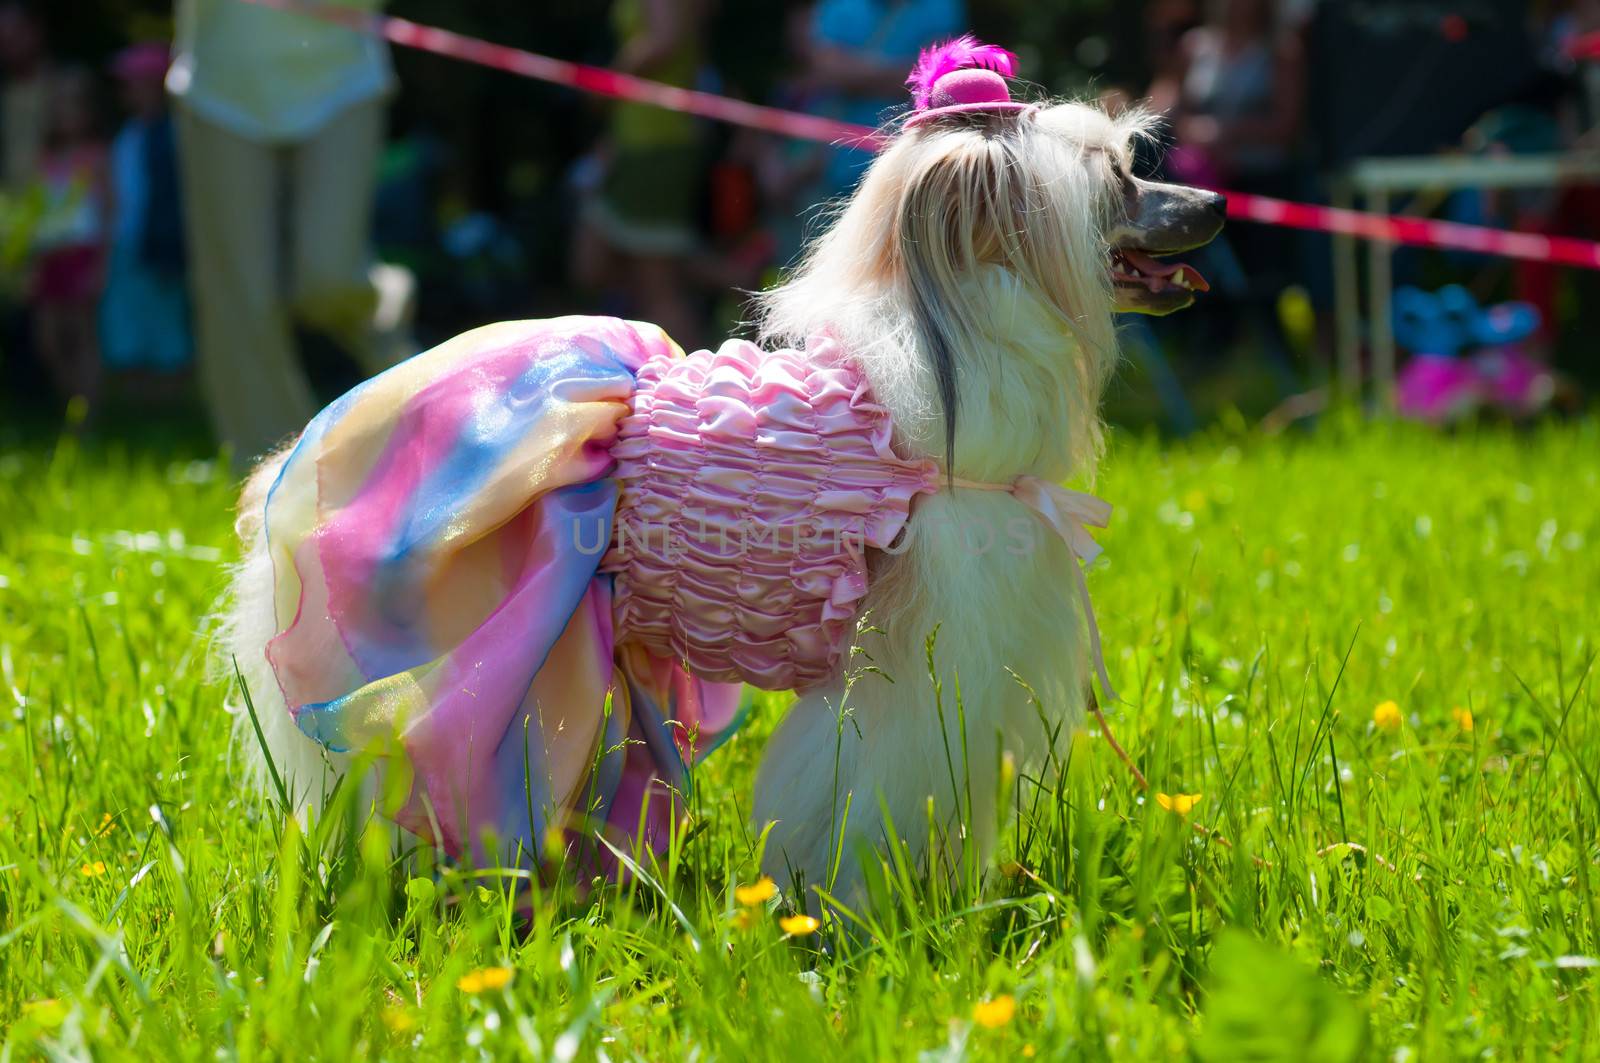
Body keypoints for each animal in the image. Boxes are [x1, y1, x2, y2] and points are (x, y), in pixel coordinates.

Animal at [216, 41, 1222, 902]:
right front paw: (860, 906)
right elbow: (871, 786)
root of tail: (297, 461)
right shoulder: (916, 667)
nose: (1215, 204)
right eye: (1118, 180)